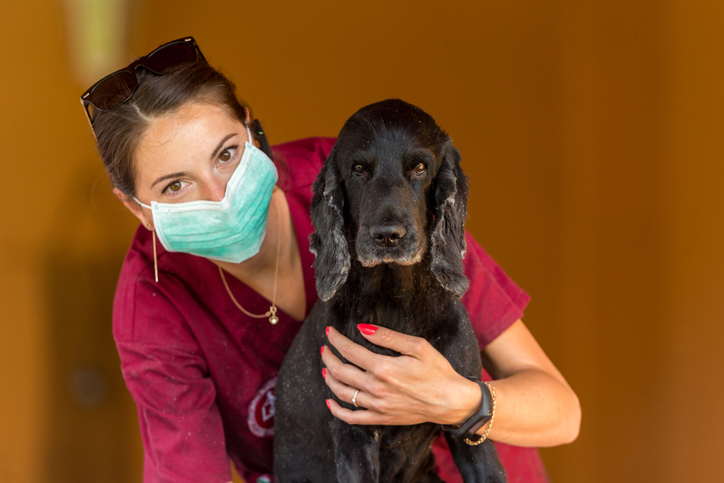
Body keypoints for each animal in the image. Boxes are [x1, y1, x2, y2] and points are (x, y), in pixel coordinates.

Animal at [274, 99, 506, 483]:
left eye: (420, 166)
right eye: (357, 169)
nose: (387, 235)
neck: (395, 301)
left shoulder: (468, 429)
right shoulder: (353, 431)